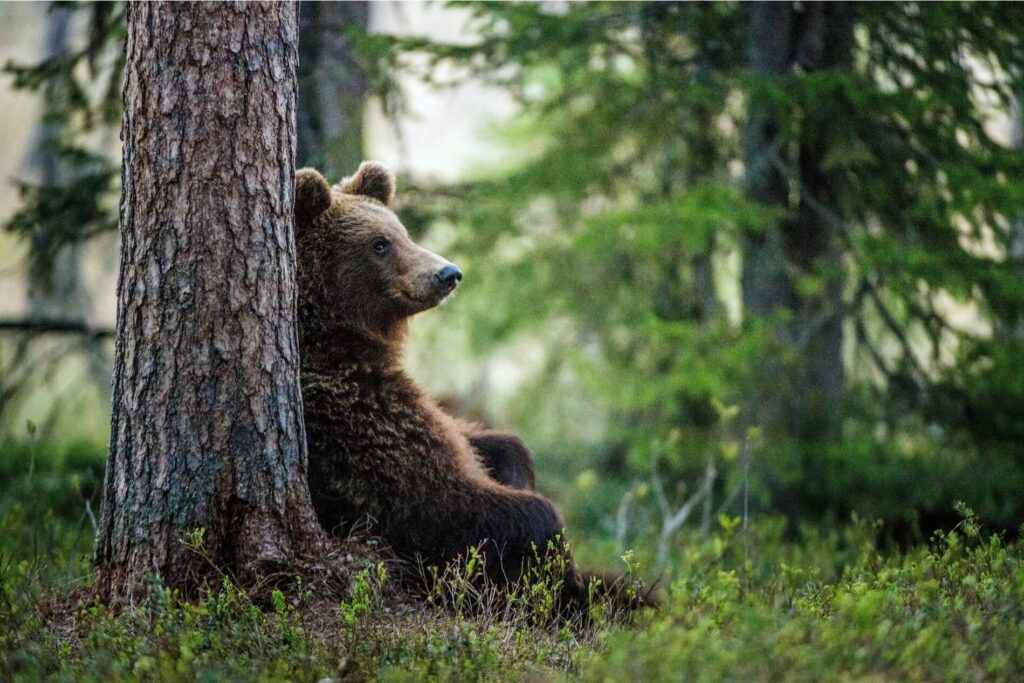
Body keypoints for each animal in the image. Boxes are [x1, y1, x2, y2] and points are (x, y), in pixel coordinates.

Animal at [292, 161, 589, 614]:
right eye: (380, 245)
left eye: (402, 232)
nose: (448, 273)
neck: (340, 344)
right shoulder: (359, 428)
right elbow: (444, 503)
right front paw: (561, 575)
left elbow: (486, 441)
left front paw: (515, 465)